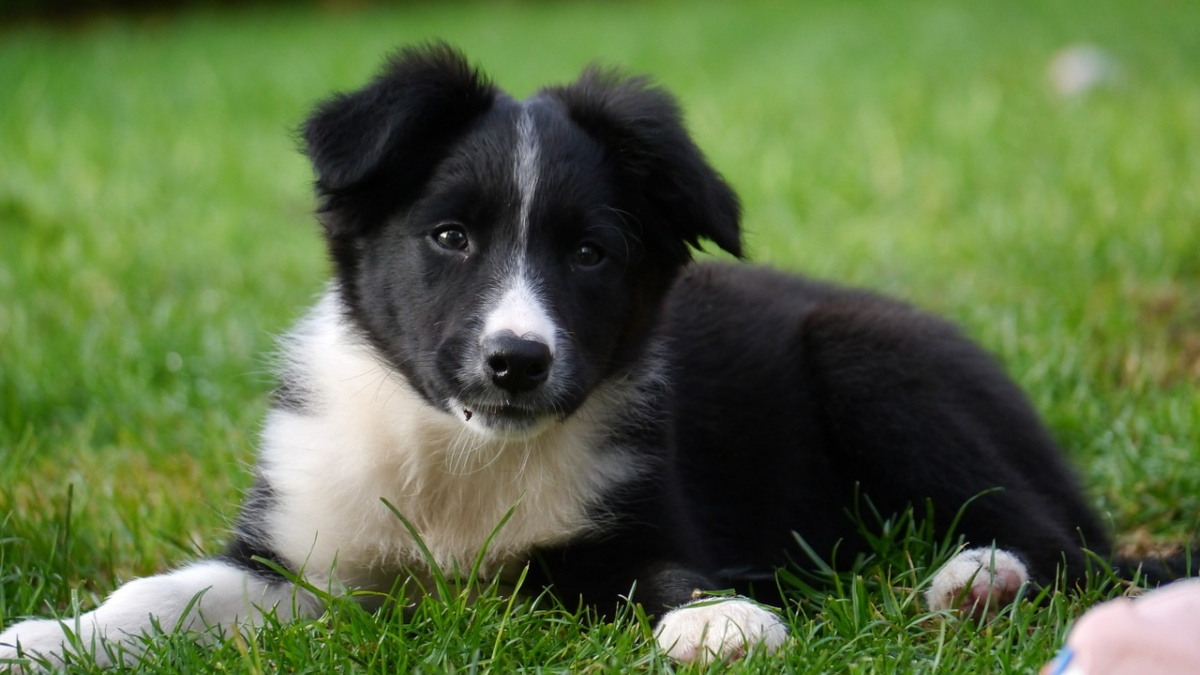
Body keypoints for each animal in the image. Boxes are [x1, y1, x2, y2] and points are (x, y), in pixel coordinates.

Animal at [0, 43, 1180, 667]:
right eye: (449, 236)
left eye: (588, 252)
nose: (517, 362)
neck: (459, 460)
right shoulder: (306, 565)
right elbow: (165, 592)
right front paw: (50, 633)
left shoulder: (631, 527)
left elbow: (663, 570)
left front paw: (720, 620)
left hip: (874, 363)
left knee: (1065, 547)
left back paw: (973, 581)